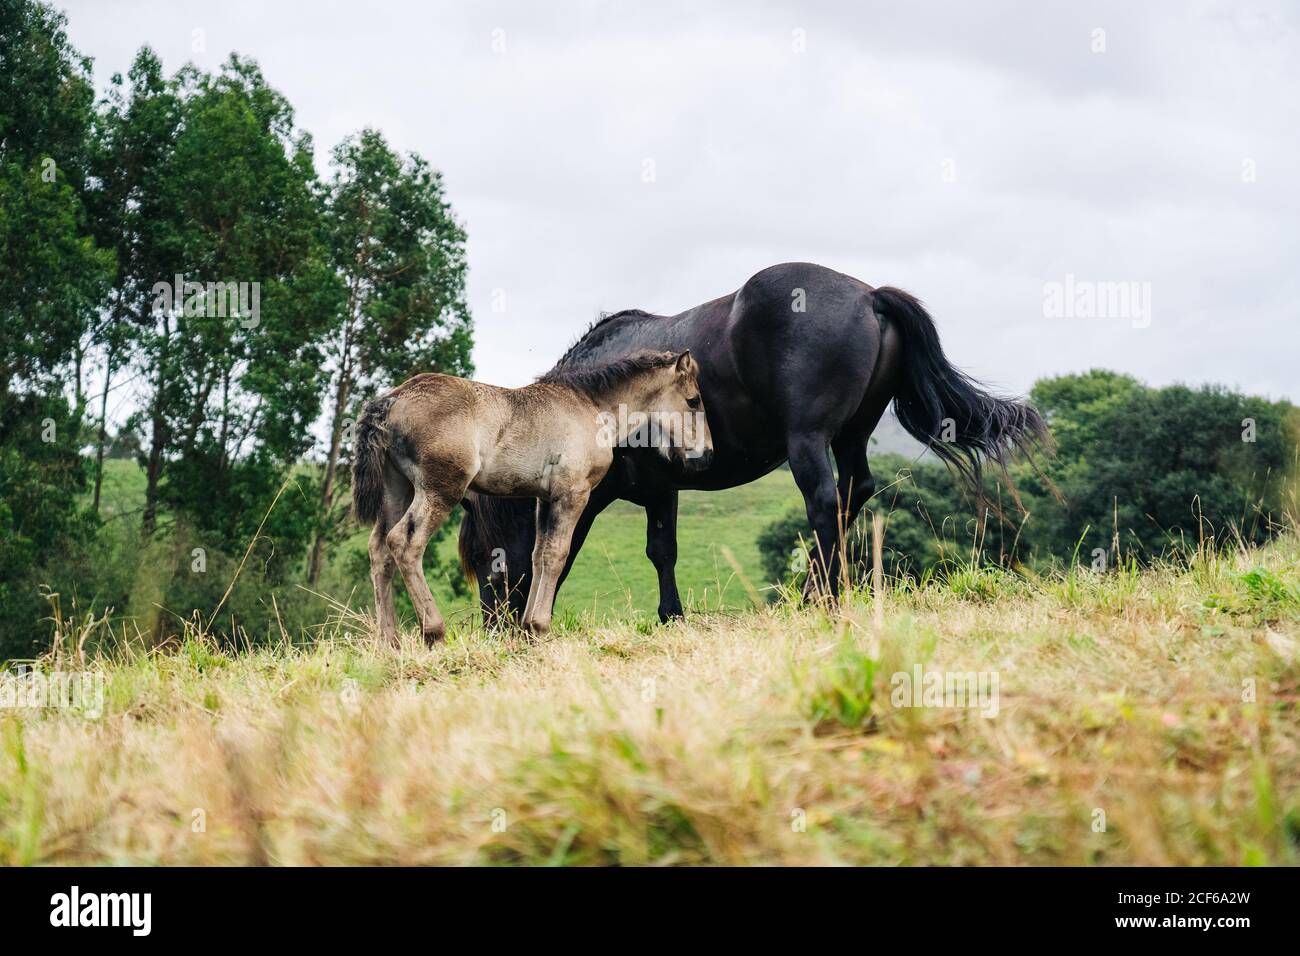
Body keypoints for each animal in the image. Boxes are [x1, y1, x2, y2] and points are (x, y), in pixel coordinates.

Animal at [352, 350, 713, 642]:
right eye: (694, 400)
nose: (707, 455)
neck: (591, 406)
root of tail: (391, 400)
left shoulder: (544, 498)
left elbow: (538, 555)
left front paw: (527, 627)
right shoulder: (572, 493)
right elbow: (557, 554)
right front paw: (540, 626)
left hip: (397, 489)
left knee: (379, 549)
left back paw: (390, 642)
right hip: (440, 490)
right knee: (404, 542)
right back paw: (434, 632)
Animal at [459, 261, 1049, 623]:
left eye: (486, 559)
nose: (494, 626)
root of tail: (869, 296)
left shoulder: (637, 488)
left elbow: (630, 549)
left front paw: (668, 615)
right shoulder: (663, 486)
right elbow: (659, 550)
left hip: (807, 441)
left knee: (824, 503)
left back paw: (822, 598)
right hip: (852, 435)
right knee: (855, 490)